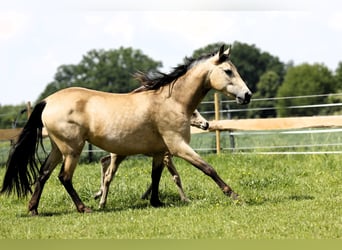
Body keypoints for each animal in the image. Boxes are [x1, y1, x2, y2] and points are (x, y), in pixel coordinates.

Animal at [0, 45, 251, 215]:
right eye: (228, 71)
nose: (247, 95)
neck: (172, 101)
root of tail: (48, 100)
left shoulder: (160, 152)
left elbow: (155, 176)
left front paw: (156, 202)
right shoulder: (178, 147)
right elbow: (208, 168)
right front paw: (234, 195)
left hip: (57, 148)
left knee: (43, 174)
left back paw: (33, 209)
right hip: (72, 149)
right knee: (64, 177)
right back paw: (84, 207)